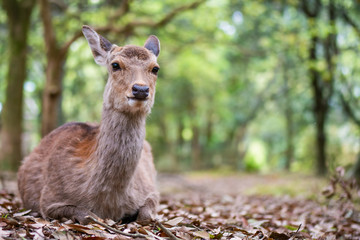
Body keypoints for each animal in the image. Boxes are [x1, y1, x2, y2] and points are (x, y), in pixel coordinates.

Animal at [16, 25, 160, 225]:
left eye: (155, 68)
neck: (110, 202)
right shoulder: (49, 199)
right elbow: (89, 216)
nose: (140, 89)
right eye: (115, 65)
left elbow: (146, 216)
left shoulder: (152, 190)